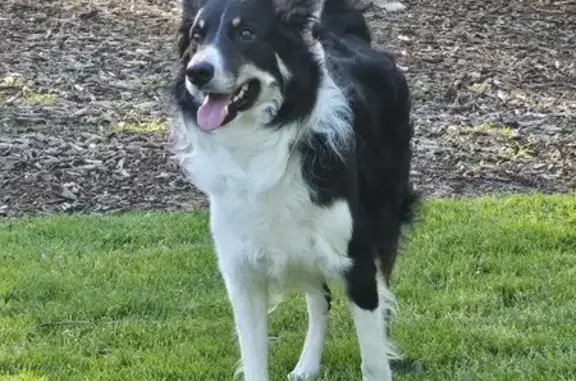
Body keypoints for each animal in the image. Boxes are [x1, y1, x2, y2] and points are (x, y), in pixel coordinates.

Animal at [169, 0, 416, 378]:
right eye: (197, 36)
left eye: (246, 34)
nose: (197, 72)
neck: (259, 147)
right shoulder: (242, 276)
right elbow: (254, 360)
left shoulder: (357, 263)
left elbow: (372, 361)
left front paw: (381, 360)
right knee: (320, 299)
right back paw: (307, 365)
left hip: (384, 221)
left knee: (381, 298)